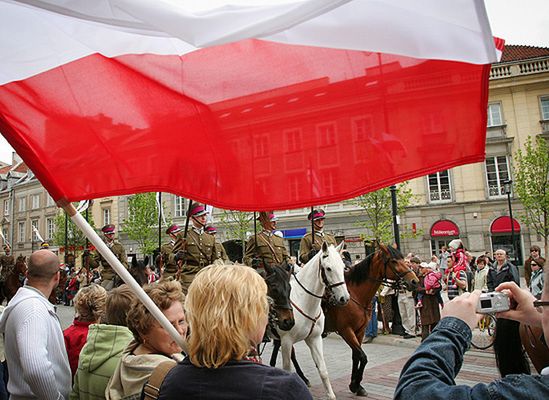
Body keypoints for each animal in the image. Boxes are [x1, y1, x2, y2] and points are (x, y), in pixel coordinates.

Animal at [276, 241, 348, 400]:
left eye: (343, 267)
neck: (304, 300)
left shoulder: (314, 339)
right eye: (328, 268)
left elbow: (323, 370)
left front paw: (331, 395)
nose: (344, 298)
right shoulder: (286, 340)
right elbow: (287, 369)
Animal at [324, 245, 418, 396]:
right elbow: (362, 356)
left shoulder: (360, 330)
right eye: (394, 261)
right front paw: (356, 384)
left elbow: (356, 356)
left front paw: (355, 385)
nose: (415, 281)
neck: (355, 294)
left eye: (404, 259)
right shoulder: (346, 331)